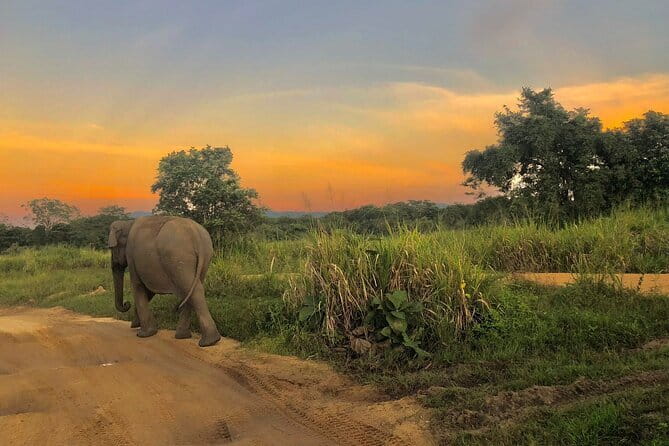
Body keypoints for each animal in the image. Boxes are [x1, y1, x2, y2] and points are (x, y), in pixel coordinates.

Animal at [108, 215, 222, 347]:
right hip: (204, 256)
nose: (127, 303)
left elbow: (138, 286)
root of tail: (196, 234)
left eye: (112, 248)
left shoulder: (131, 256)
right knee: (193, 288)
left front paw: (143, 334)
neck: (128, 223)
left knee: (191, 289)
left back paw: (207, 342)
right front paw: (136, 325)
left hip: (178, 257)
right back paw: (184, 337)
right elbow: (149, 292)